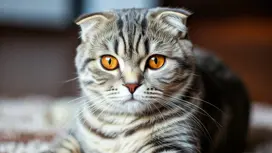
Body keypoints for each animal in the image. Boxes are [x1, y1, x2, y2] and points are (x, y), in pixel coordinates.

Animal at [47, 7, 251, 153]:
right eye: (109, 61)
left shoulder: (177, 141)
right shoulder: (75, 136)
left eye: (155, 61)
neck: (120, 127)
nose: (131, 85)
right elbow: (60, 146)